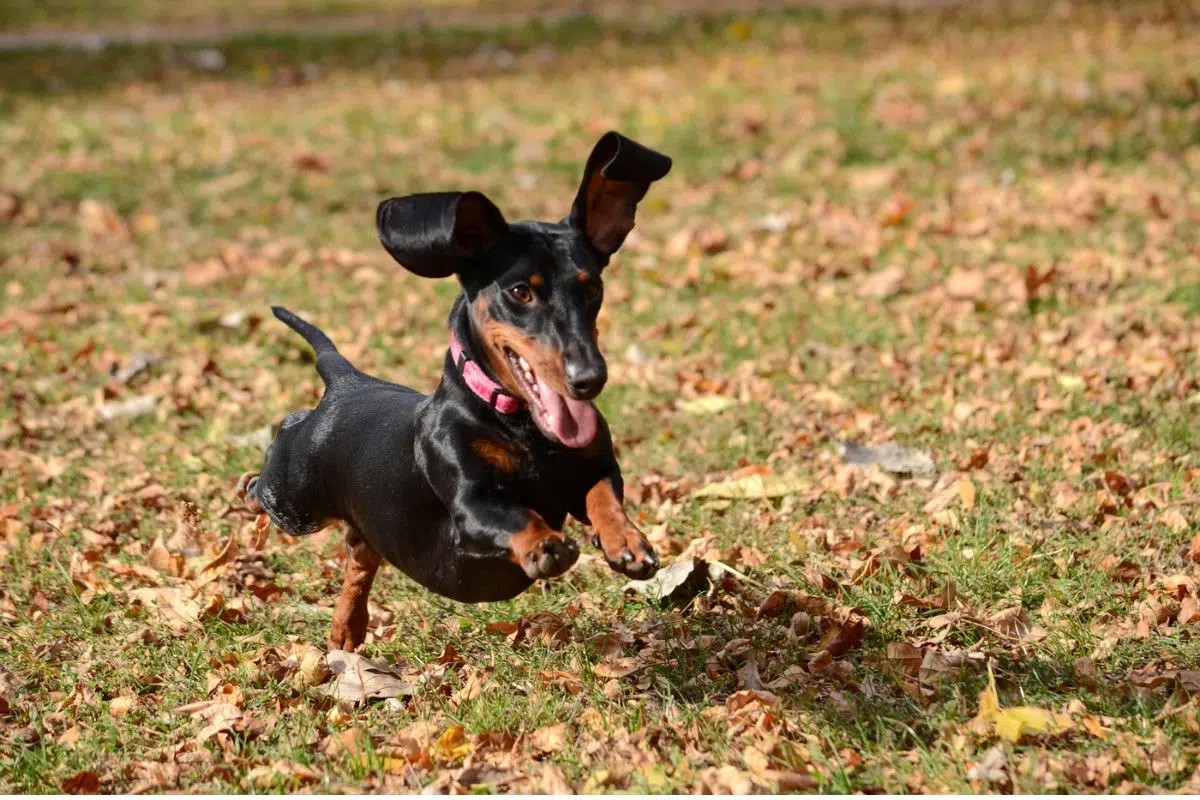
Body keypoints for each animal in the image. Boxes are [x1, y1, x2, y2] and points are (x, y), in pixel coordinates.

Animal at [238, 131, 672, 652]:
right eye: (521, 292)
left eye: (592, 288)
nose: (590, 378)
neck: (521, 426)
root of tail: (349, 382)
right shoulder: (470, 504)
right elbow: (515, 515)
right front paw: (544, 543)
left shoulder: (594, 468)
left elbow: (604, 496)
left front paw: (627, 542)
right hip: (294, 498)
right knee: (268, 475)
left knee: (359, 555)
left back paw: (347, 626)